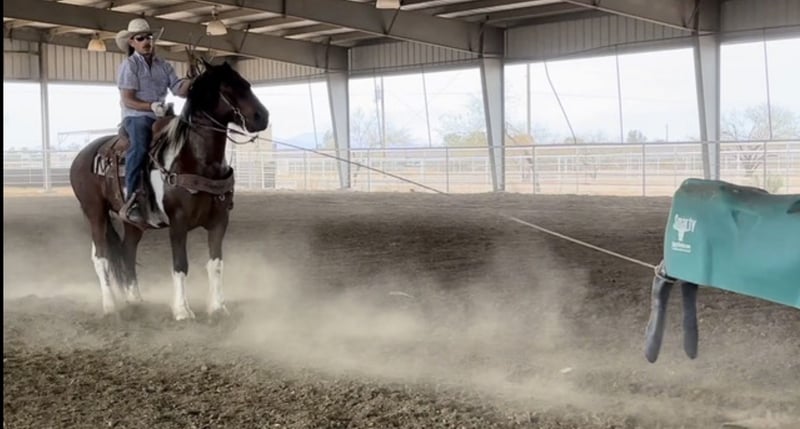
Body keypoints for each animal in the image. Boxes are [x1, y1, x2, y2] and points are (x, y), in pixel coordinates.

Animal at [69, 59, 269, 320]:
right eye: (228, 89)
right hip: (94, 212)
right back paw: (110, 306)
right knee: (101, 257)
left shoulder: (220, 220)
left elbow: (215, 264)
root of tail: (82, 156)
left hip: (133, 222)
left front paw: (217, 307)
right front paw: (182, 310)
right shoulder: (178, 222)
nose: (262, 117)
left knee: (127, 251)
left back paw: (135, 299)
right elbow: (180, 265)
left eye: (246, 83)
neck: (197, 160)